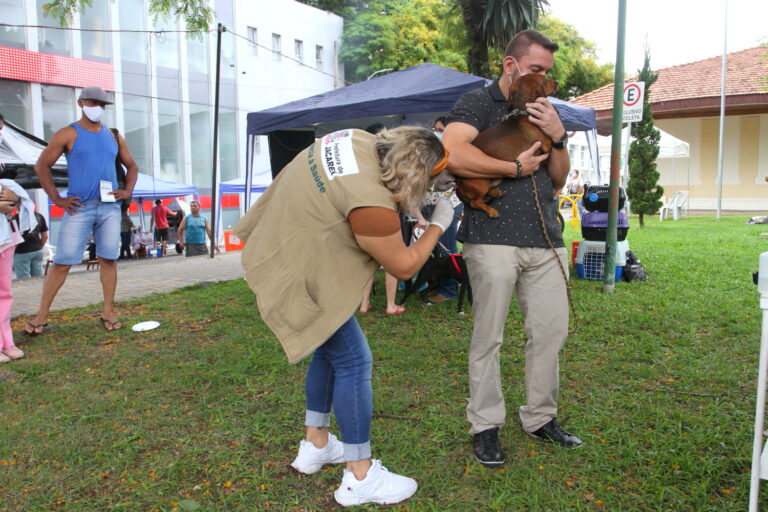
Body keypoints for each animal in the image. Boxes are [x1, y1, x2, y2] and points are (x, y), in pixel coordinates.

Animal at [456, 73, 560, 217]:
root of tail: (457, 182)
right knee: (475, 202)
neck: (523, 112)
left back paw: (495, 192)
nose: (557, 82)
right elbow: (548, 151)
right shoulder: (546, 144)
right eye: (544, 80)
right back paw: (491, 211)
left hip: (495, 179)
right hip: (480, 183)